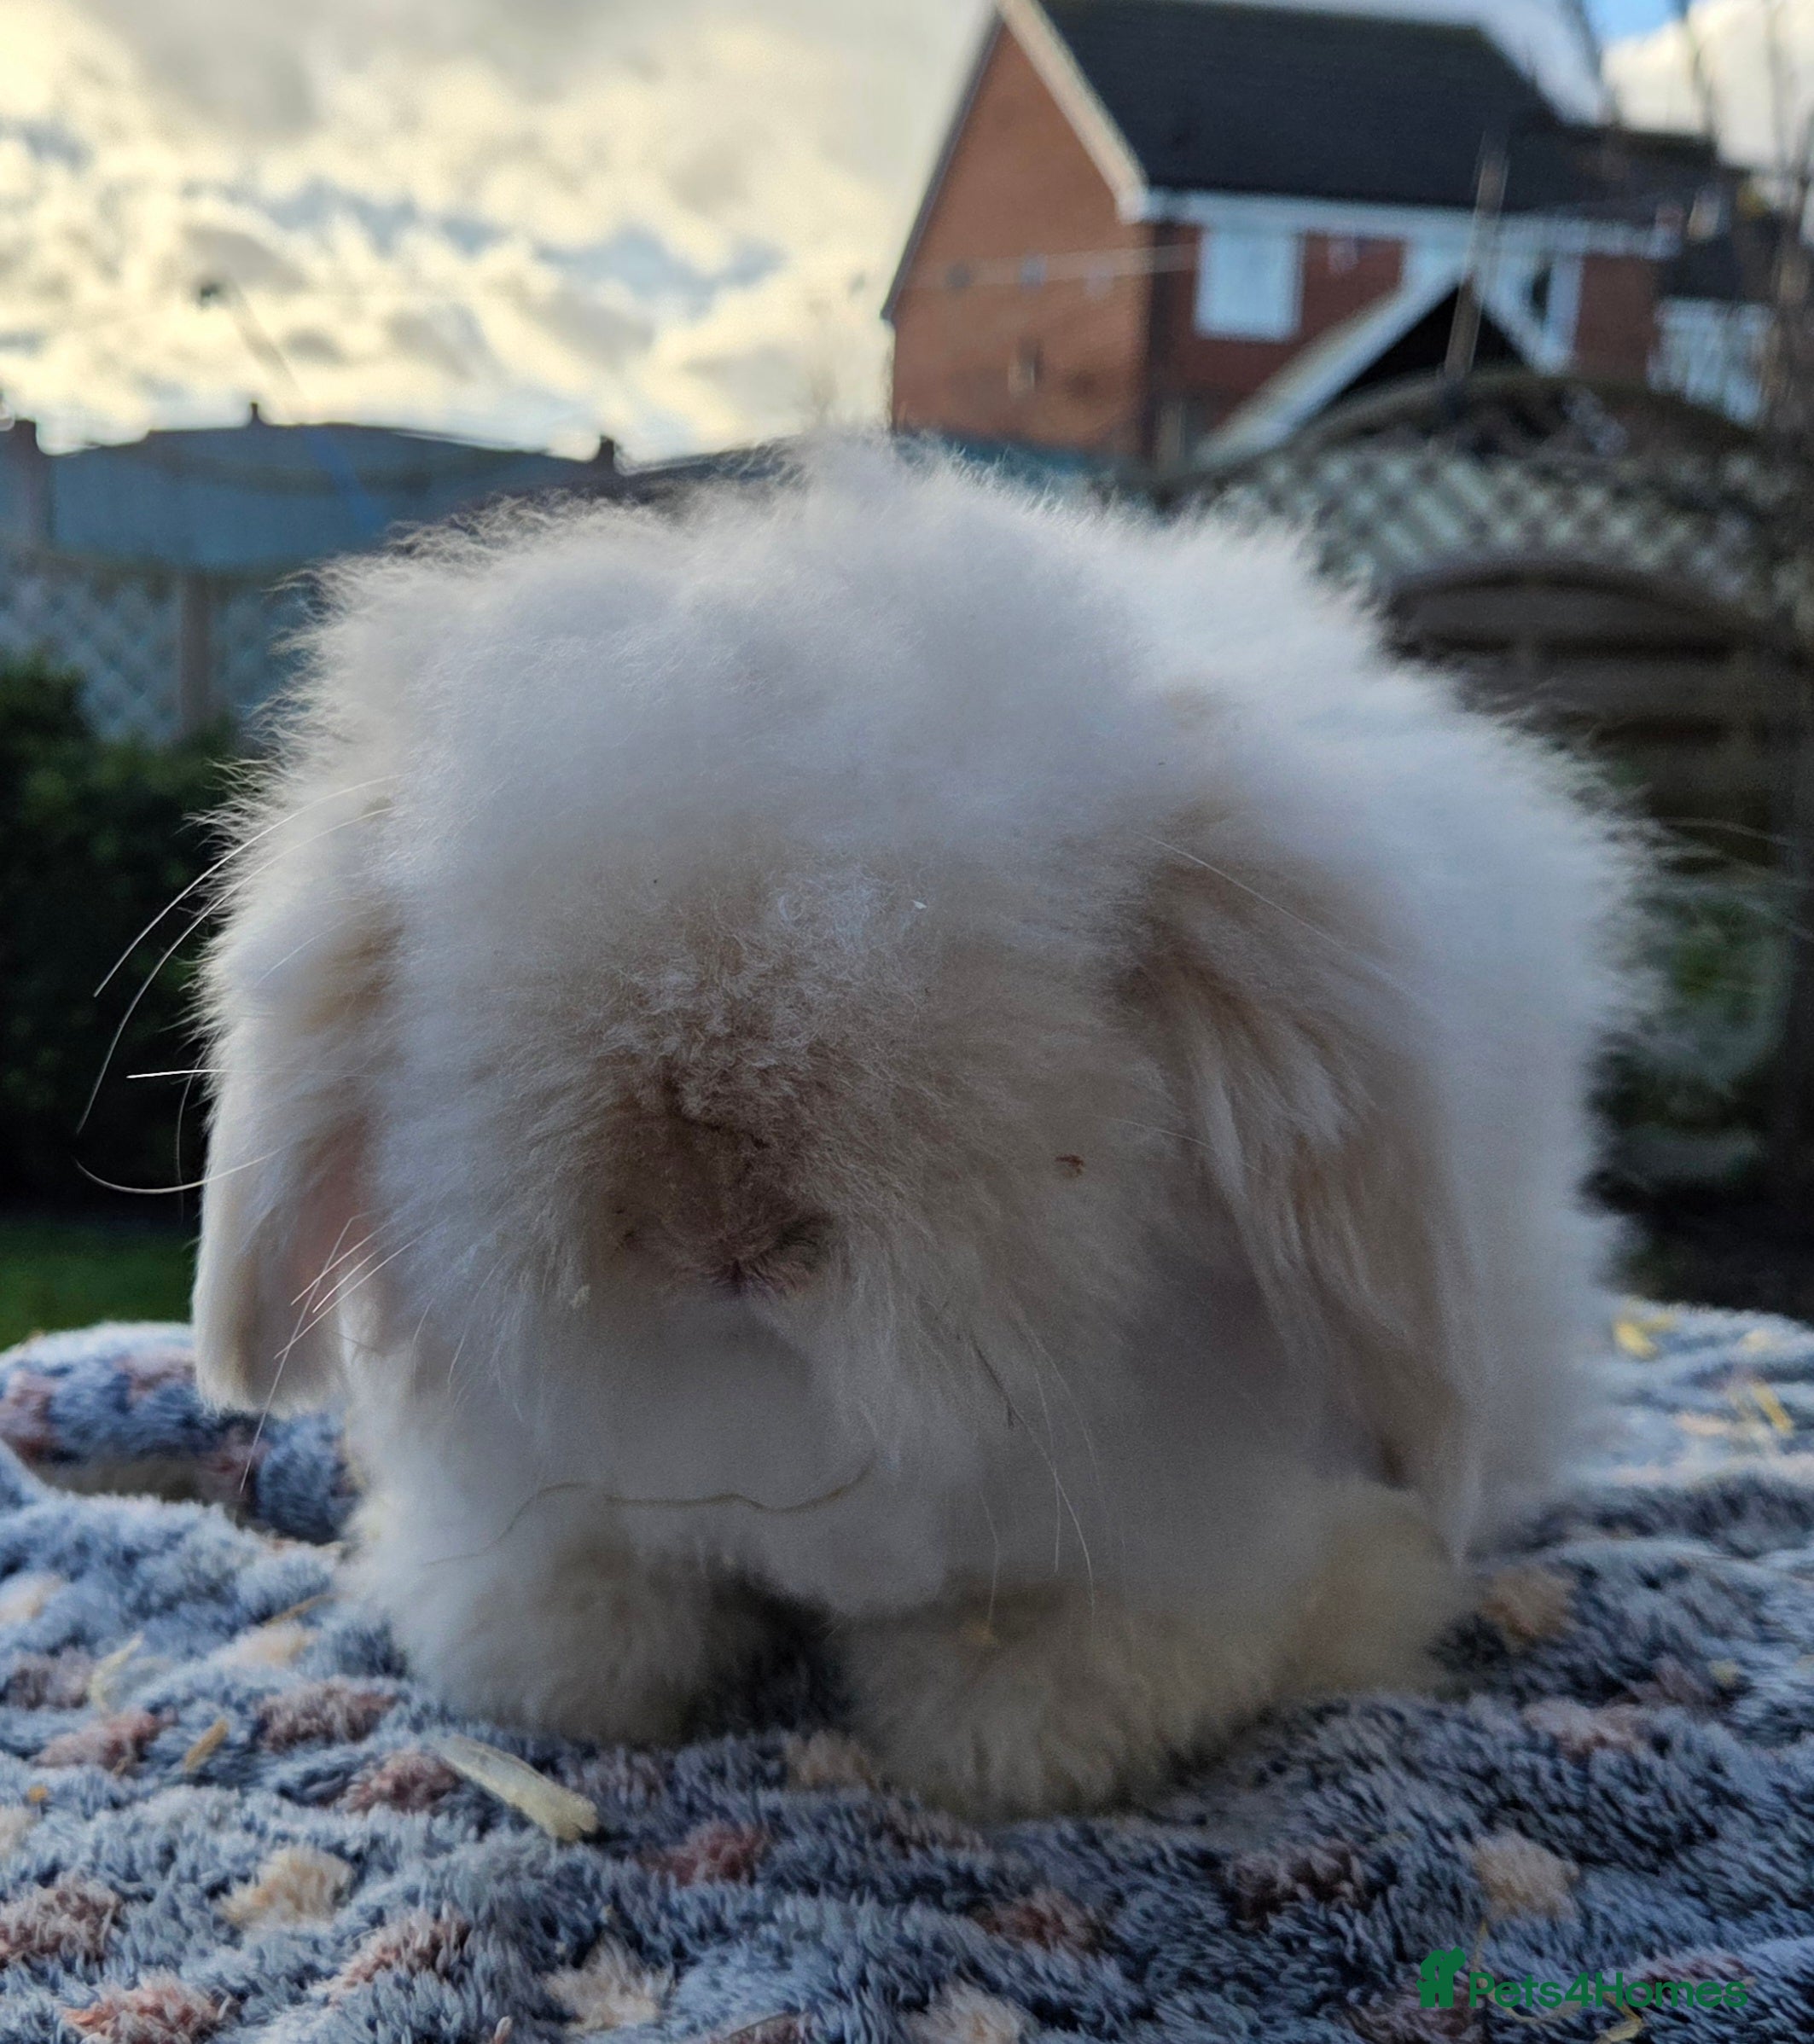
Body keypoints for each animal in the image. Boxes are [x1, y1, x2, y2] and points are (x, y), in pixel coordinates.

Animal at [192, 444, 1638, 1818]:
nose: (714, 1225)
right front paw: (570, 1656)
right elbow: (566, 1630)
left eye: (1081, 973)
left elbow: (1138, 1655)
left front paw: (1006, 1729)